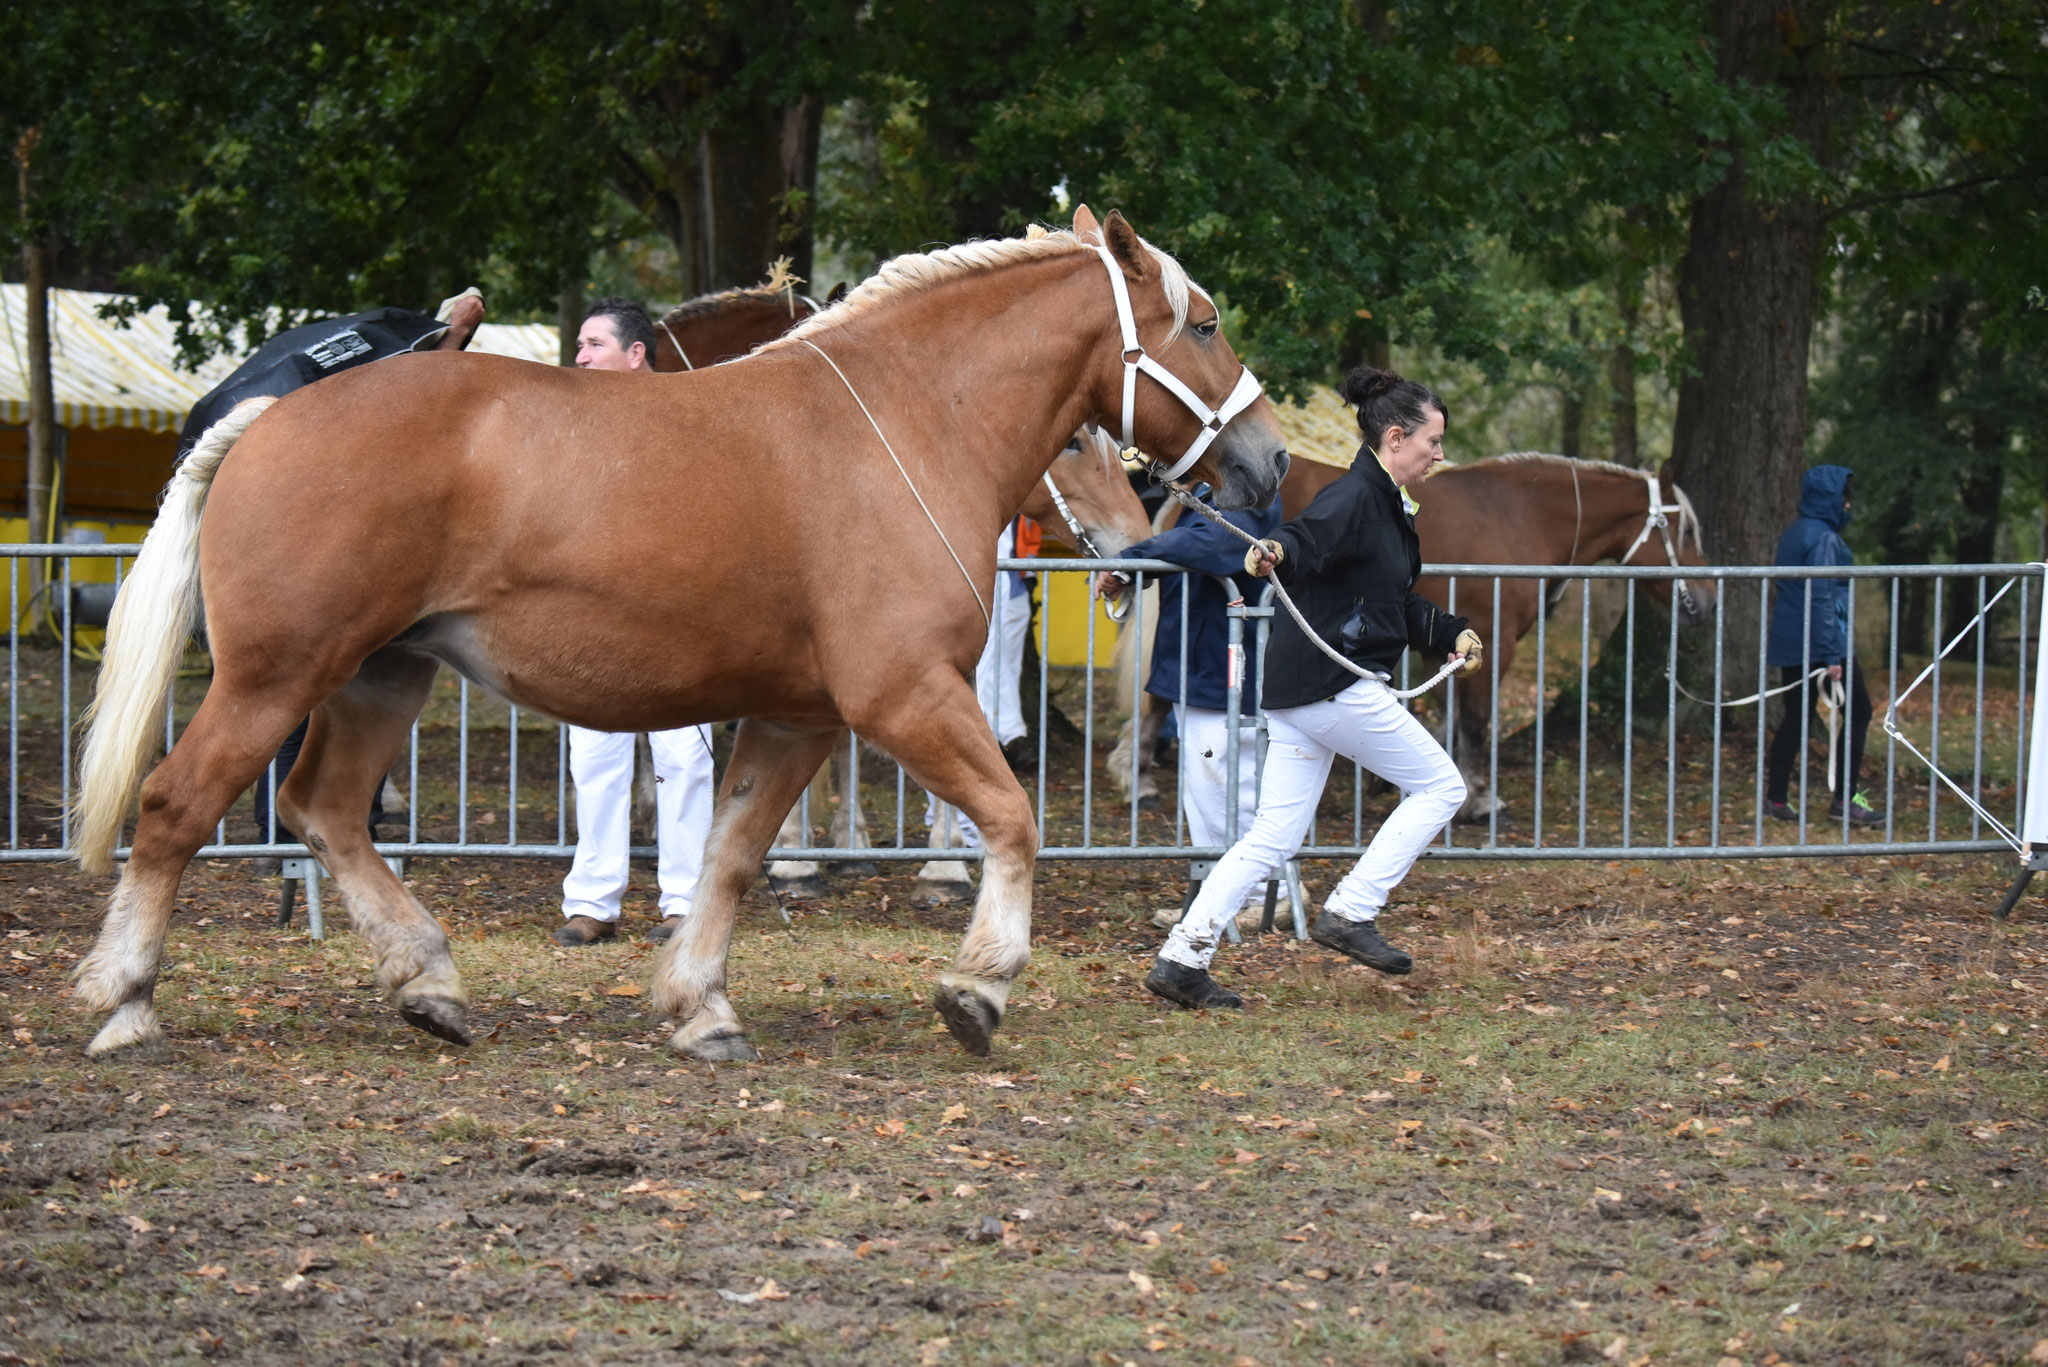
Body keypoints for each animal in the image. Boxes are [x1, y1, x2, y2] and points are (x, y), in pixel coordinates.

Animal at [72, 205, 1286, 1057]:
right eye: (1205, 323)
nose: (1269, 458)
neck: (903, 421)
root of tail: (262, 417)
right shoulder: (902, 694)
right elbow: (1011, 817)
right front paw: (978, 984)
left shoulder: (800, 716)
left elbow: (733, 855)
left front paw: (699, 1001)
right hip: (275, 675)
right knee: (176, 805)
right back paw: (124, 998)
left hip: (384, 673)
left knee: (323, 808)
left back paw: (428, 981)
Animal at [1105, 457, 1712, 823]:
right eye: (1684, 529)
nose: (1705, 603)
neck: (1518, 517)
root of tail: (1197, 492)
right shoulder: (1496, 643)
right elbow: (1476, 724)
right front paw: (1483, 800)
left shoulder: (1450, 648)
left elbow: (1448, 720)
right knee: (1163, 692)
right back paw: (1137, 779)